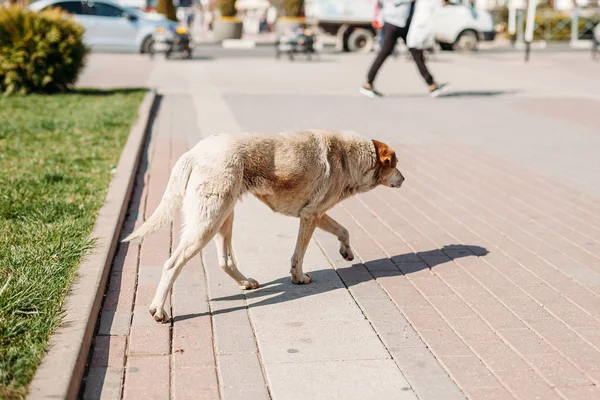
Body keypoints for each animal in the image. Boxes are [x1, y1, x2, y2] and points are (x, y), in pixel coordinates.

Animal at [122, 130, 406, 324]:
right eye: (395, 164)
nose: (404, 179)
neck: (348, 156)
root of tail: (193, 153)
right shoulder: (311, 215)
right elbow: (299, 255)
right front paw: (298, 278)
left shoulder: (314, 213)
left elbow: (342, 229)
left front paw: (346, 252)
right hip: (208, 221)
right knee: (172, 264)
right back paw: (159, 310)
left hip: (224, 217)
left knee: (225, 260)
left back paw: (246, 282)